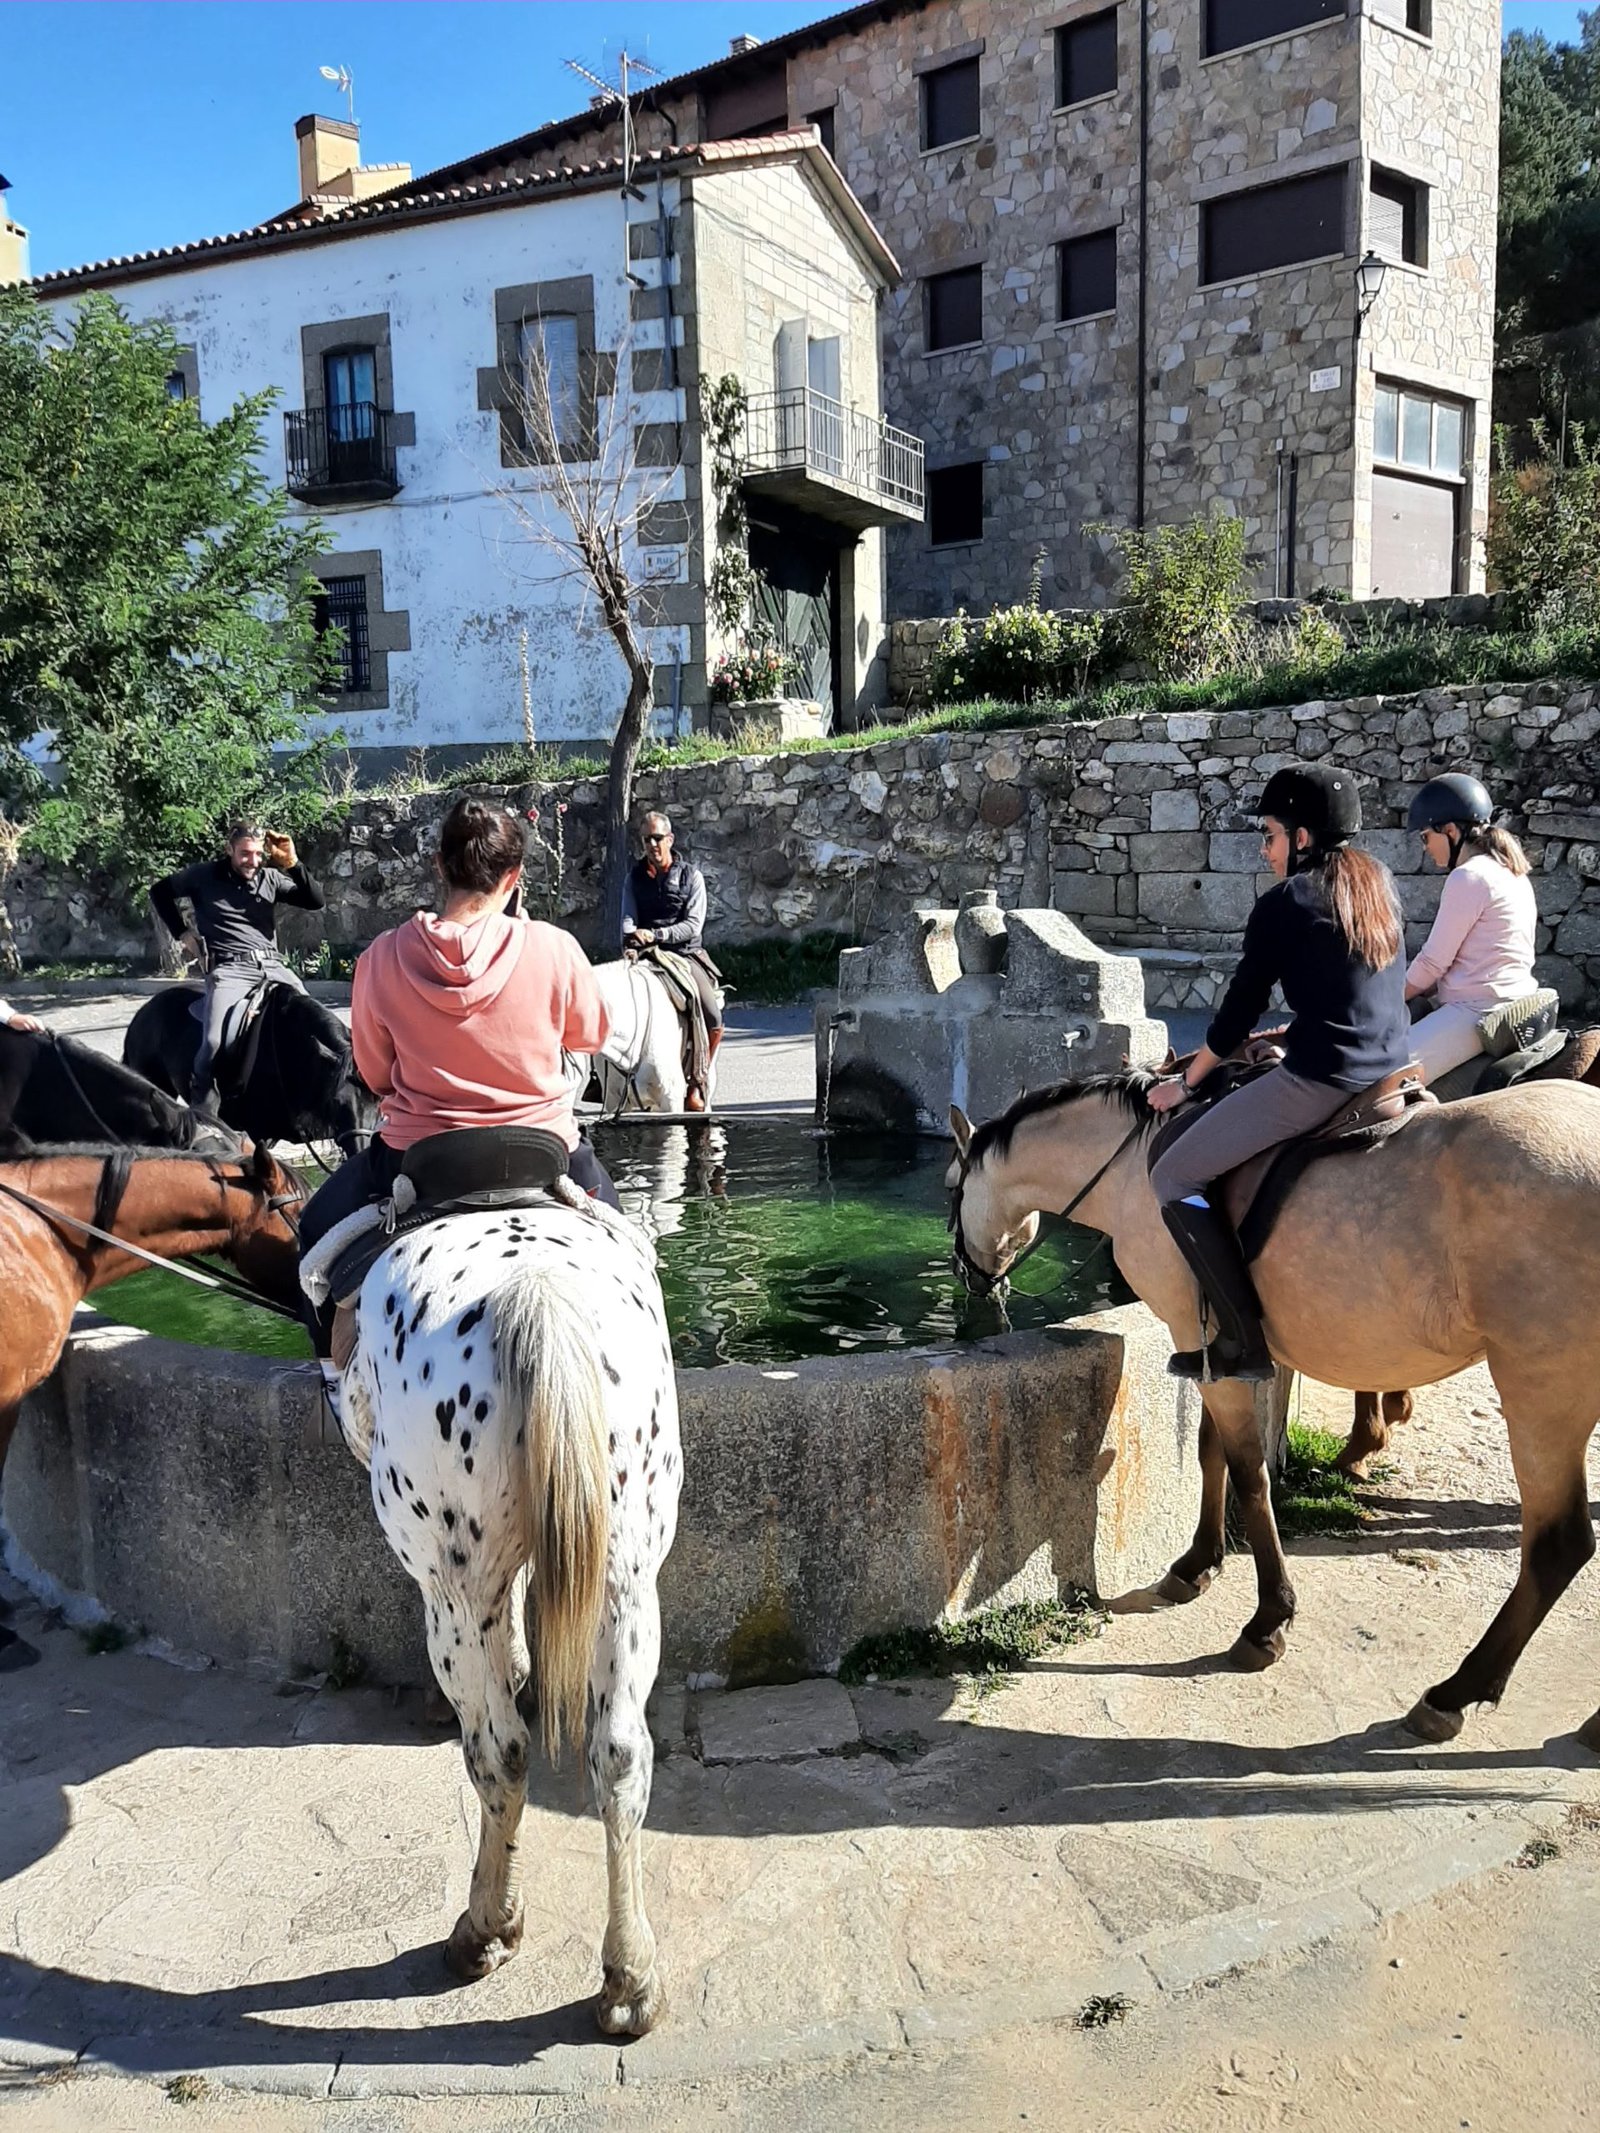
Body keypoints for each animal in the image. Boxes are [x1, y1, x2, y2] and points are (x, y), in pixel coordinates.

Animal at [329, 1185, 681, 2035]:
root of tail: (536, 1291)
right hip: (628, 1574)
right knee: (620, 1754)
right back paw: (630, 1976)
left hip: (452, 1587)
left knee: (500, 1749)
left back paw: (485, 1922)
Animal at [946, 1074, 1600, 1745]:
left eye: (951, 1188)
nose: (967, 1276)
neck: (1130, 1164)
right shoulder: (1211, 1351)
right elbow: (1210, 1453)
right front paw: (1197, 1565)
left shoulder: (1197, 1334)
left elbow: (1248, 1472)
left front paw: (1268, 1621)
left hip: (1542, 1388)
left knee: (1558, 1547)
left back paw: (1456, 1692)